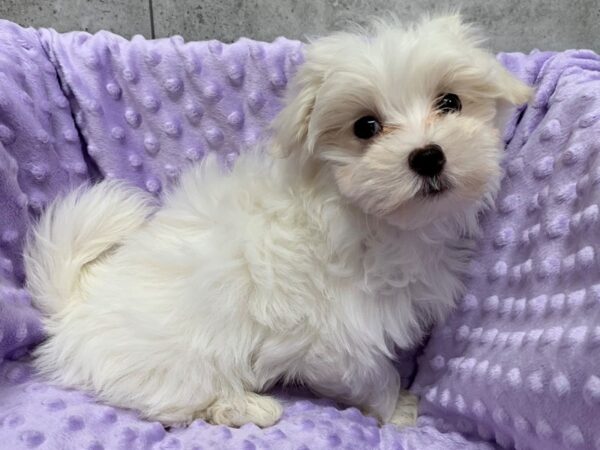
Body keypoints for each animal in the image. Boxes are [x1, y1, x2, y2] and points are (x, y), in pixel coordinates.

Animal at [23, 14, 528, 428]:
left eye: (450, 102)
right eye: (365, 127)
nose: (427, 156)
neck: (366, 216)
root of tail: (74, 308)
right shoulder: (339, 336)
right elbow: (371, 375)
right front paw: (397, 408)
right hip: (175, 359)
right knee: (174, 399)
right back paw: (244, 407)